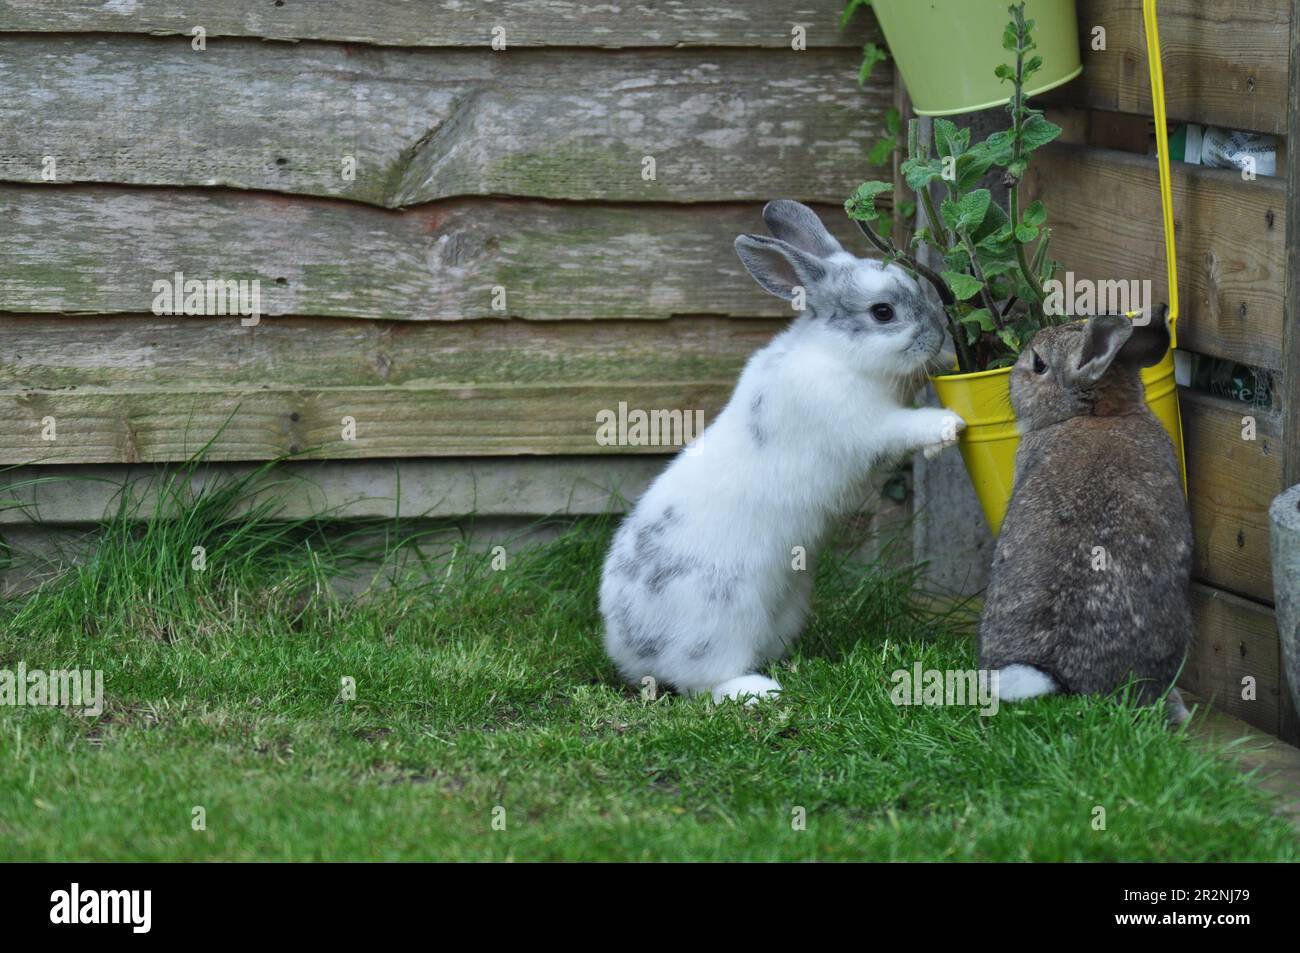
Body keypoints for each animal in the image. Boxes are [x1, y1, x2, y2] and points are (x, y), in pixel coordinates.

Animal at [600, 200, 967, 702]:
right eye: (883, 312)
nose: (939, 337)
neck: (836, 354)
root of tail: (629, 647)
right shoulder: (865, 424)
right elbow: (902, 427)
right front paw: (949, 425)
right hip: (719, 623)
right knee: (702, 681)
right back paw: (759, 691)